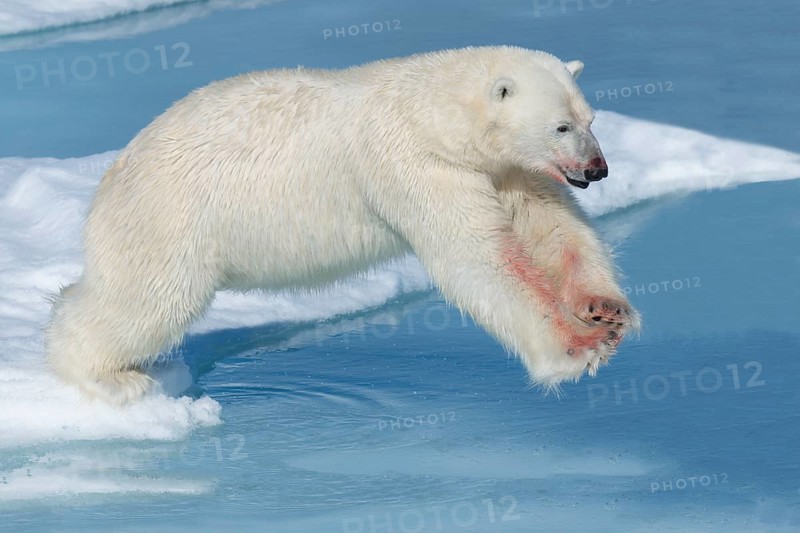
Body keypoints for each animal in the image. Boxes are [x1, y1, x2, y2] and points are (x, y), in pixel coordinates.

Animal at [45, 46, 639, 404]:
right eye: (561, 126)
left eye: (590, 119)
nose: (597, 169)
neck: (430, 109)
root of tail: (112, 174)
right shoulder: (413, 163)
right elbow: (478, 257)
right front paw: (578, 346)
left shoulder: (505, 169)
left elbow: (553, 228)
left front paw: (603, 310)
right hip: (169, 214)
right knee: (148, 296)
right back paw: (110, 376)